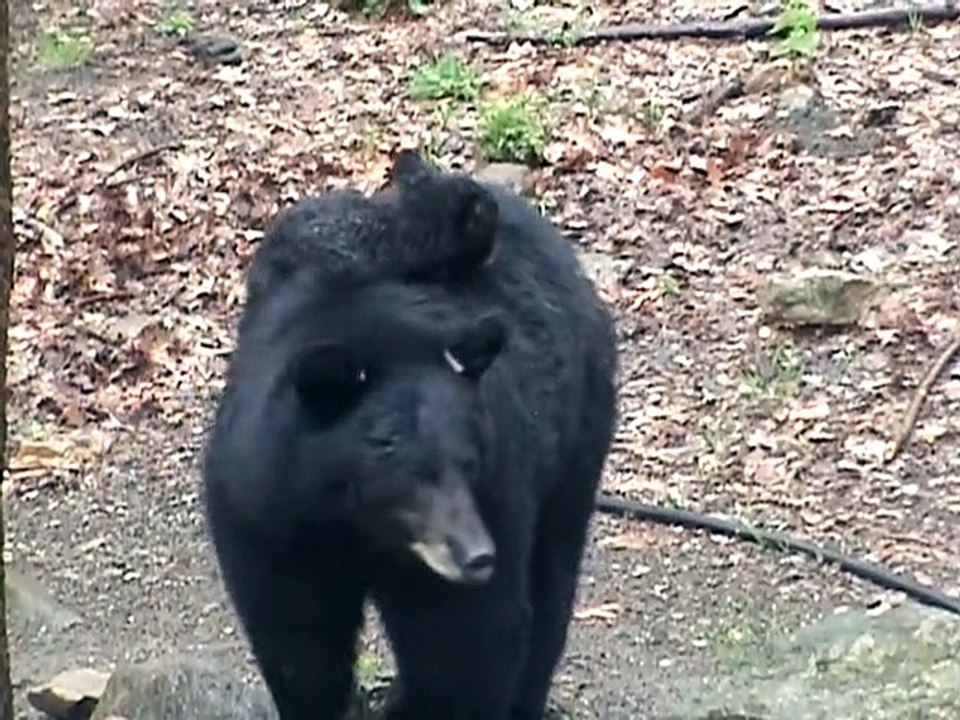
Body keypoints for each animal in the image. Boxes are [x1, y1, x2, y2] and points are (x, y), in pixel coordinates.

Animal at [202, 151, 618, 720]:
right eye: (403, 469)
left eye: (469, 461)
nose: (476, 554)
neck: (354, 523)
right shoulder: (268, 514)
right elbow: (297, 637)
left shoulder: (497, 490)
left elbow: (467, 638)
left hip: (577, 439)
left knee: (553, 577)